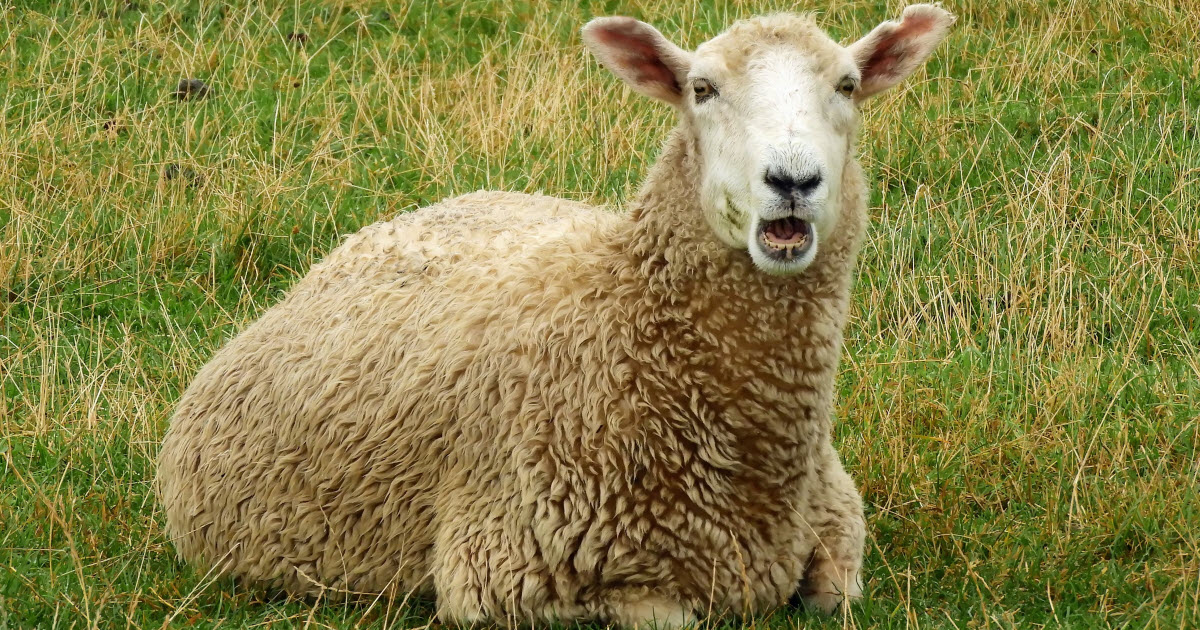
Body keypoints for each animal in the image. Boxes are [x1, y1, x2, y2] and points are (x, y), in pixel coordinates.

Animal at [157, 5, 954, 627]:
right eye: (701, 89)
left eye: (847, 86)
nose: (793, 180)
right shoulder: (511, 575)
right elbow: (674, 616)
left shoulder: (836, 529)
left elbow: (836, 595)